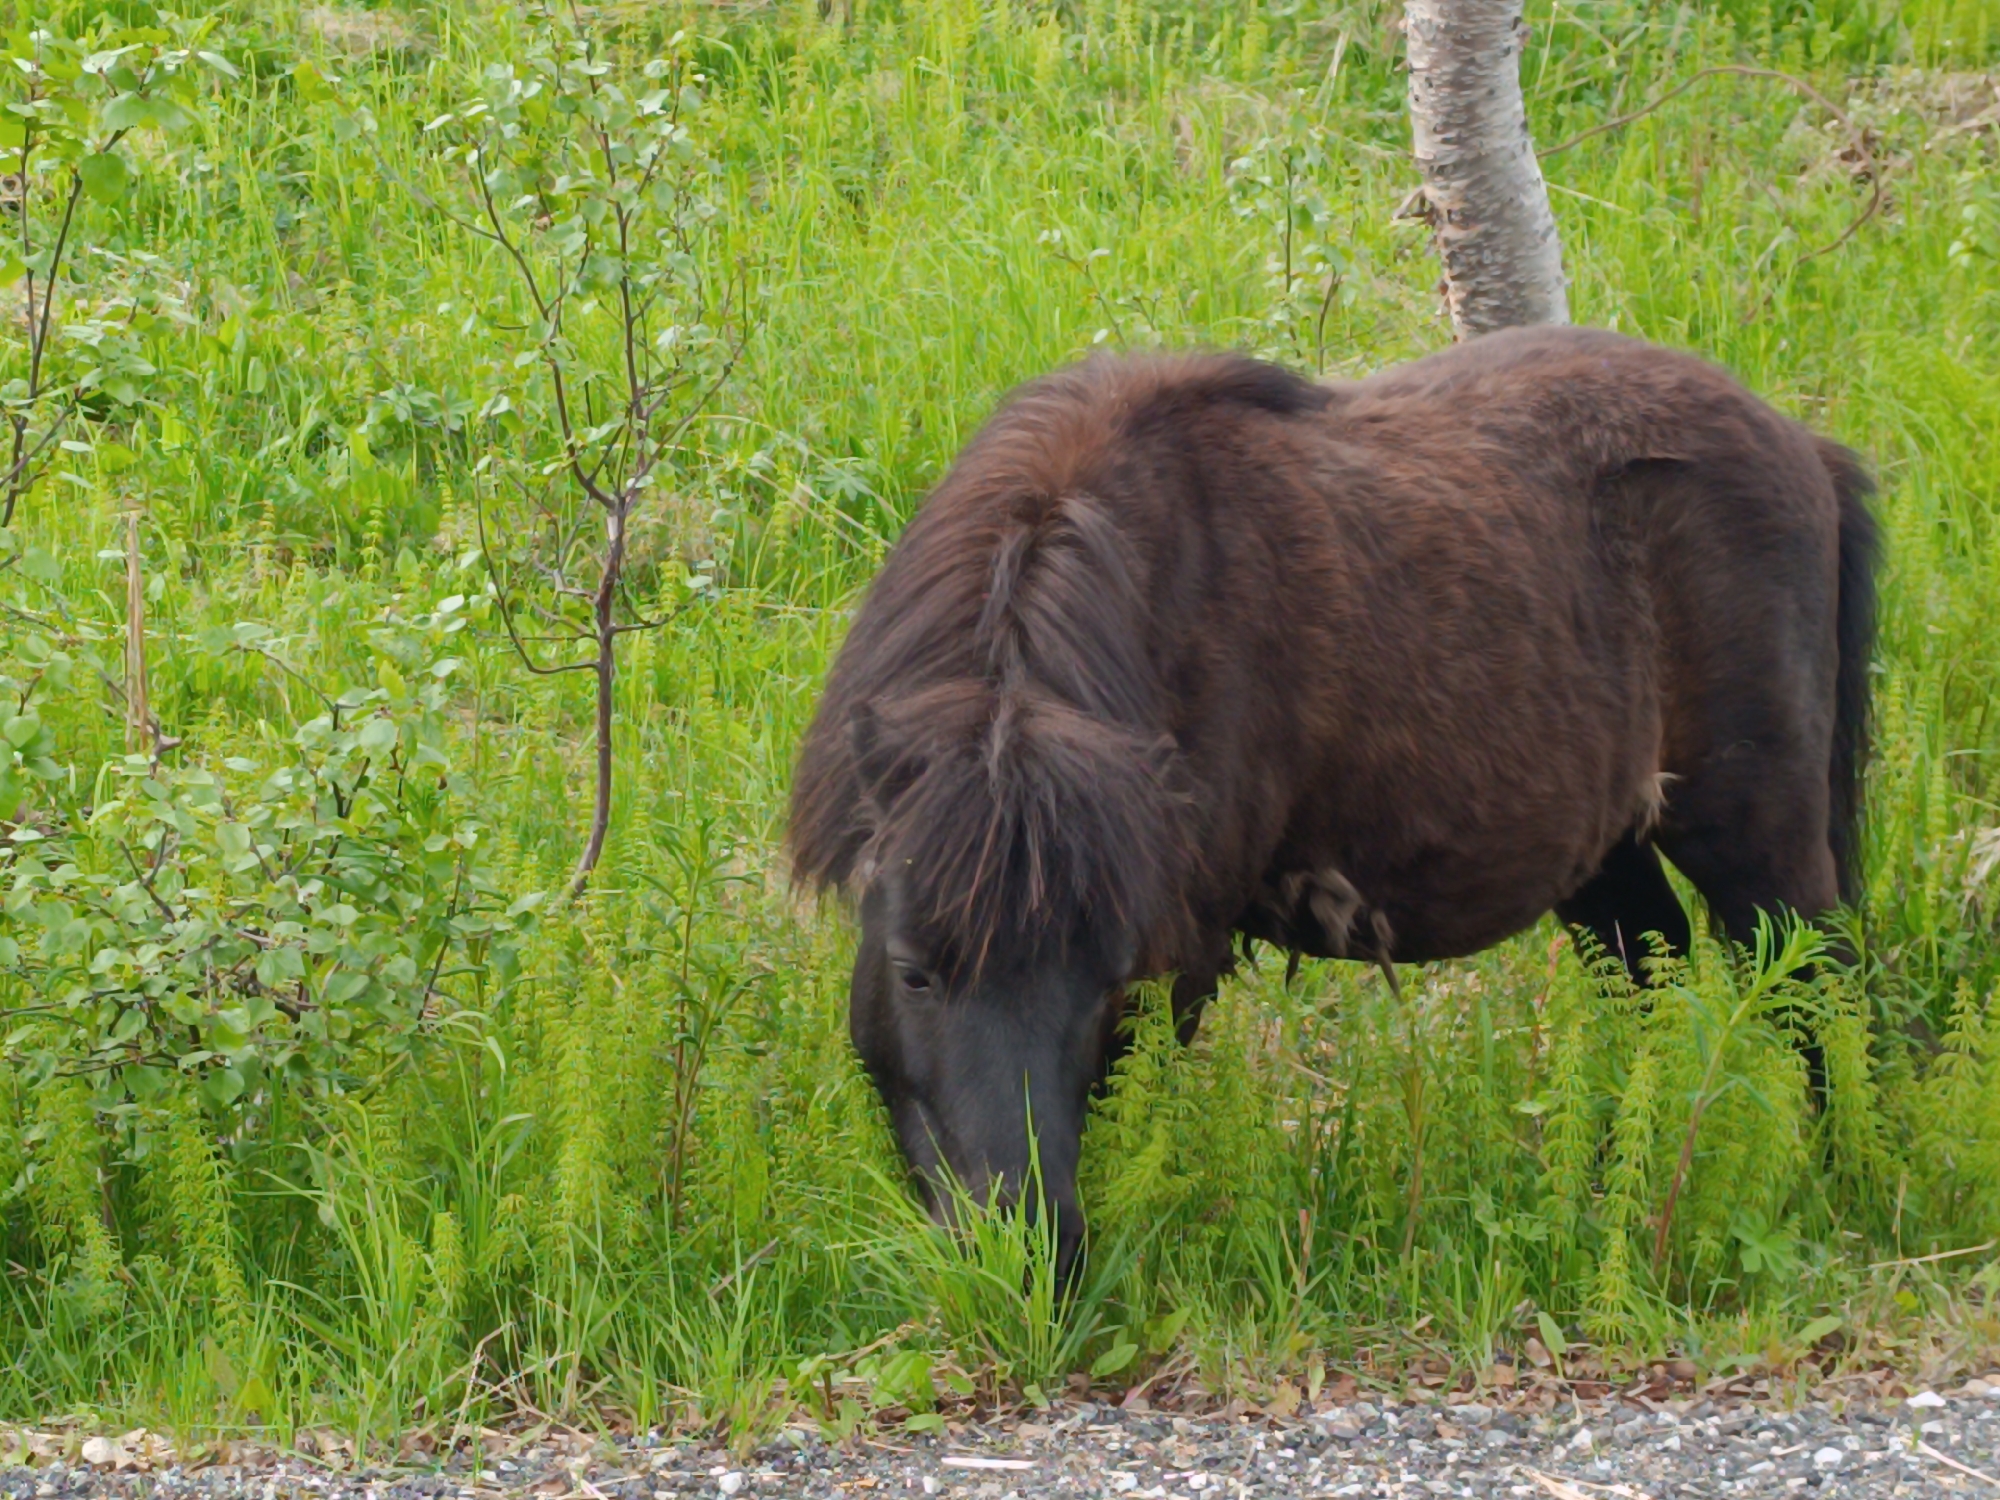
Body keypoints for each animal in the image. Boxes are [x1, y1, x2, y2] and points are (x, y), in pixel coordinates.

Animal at [788, 324, 1877, 1276]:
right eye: (913, 972)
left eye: (1103, 982)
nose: (1025, 1253)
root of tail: (1805, 448)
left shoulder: (1180, 954)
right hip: (1607, 856)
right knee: (1652, 981)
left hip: (1759, 847)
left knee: (1820, 995)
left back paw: (1838, 1188)